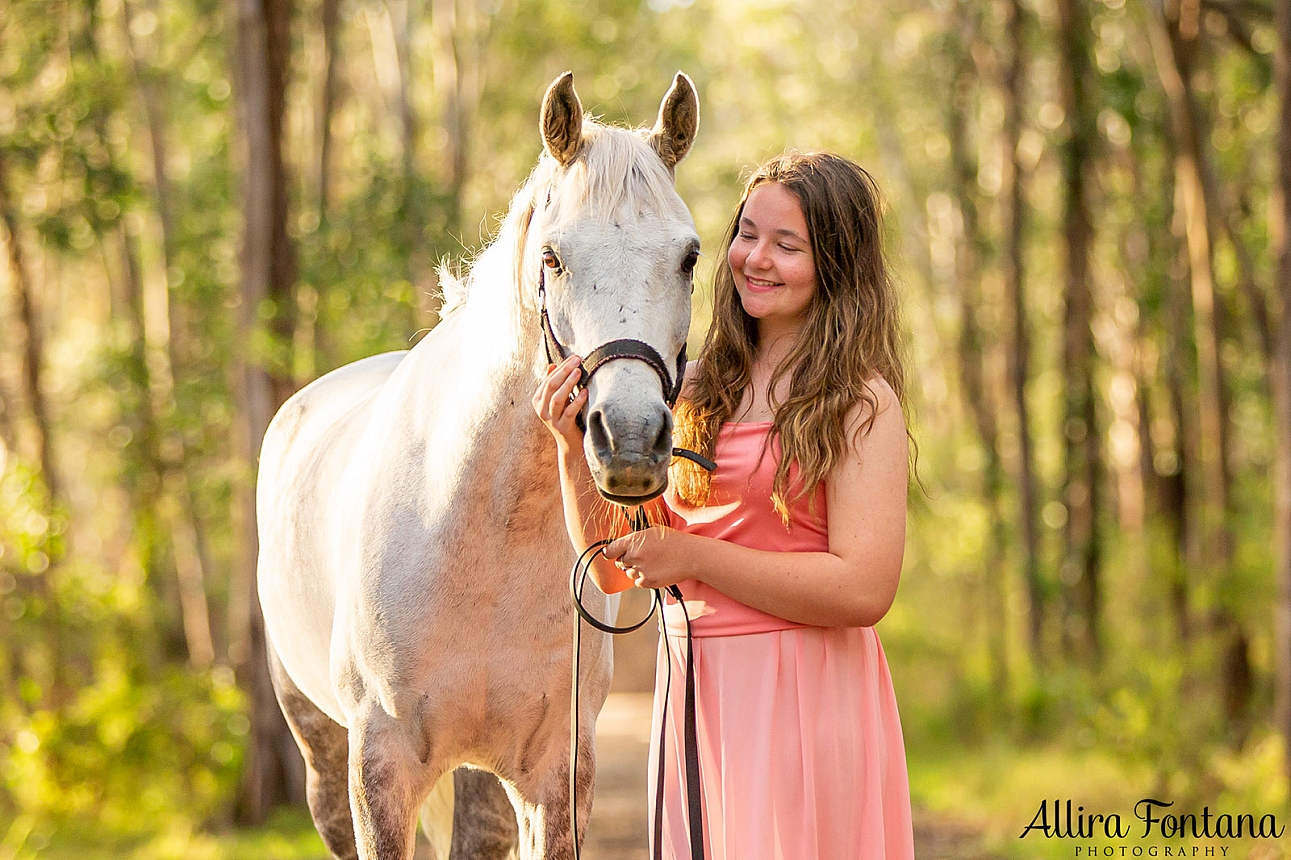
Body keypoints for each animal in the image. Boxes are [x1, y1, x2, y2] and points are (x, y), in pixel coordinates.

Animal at [251, 70, 697, 852]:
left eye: (689, 257)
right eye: (552, 257)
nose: (631, 439)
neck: (481, 526)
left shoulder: (555, 776)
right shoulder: (379, 773)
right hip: (321, 755)